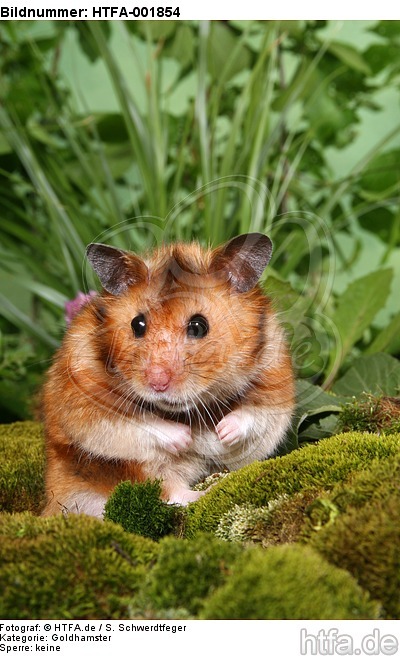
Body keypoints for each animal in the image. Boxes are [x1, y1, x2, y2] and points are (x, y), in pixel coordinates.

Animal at [41, 233, 295, 517]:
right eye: (137, 324)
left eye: (198, 326)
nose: (157, 384)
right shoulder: (81, 397)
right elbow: (137, 423)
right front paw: (185, 438)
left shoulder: (275, 380)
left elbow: (253, 413)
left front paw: (222, 433)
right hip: (130, 469)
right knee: (171, 492)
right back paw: (203, 490)